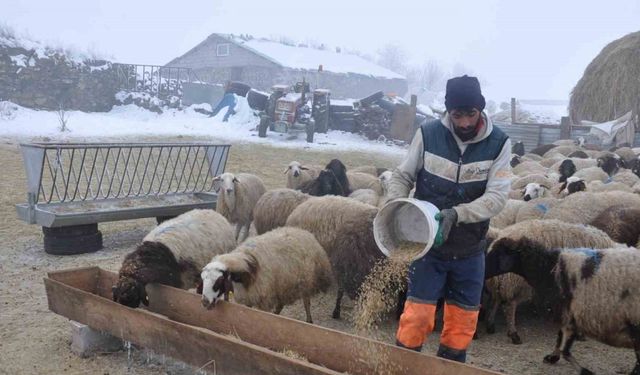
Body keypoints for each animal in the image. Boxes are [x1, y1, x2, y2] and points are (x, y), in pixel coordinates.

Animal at [201, 226, 332, 324]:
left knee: (306, 302)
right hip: (283, 285)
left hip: (305, 282)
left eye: (219, 280)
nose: (205, 302)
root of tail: (304, 232)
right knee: (281, 304)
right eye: (203, 280)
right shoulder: (248, 297)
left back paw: (309, 320)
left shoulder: (264, 299)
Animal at [484, 220, 616, 346]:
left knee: (496, 300)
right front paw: (580, 334)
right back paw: (514, 335)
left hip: (502, 284)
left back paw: (490, 325)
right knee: (510, 306)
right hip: (518, 284)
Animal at [484, 239, 640, 374]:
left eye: (498, 253)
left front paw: (584, 371)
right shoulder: (568, 314)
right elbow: (560, 340)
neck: (548, 268)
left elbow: (565, 350)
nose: (483, 271)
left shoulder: (570, 313)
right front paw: (552, 357)